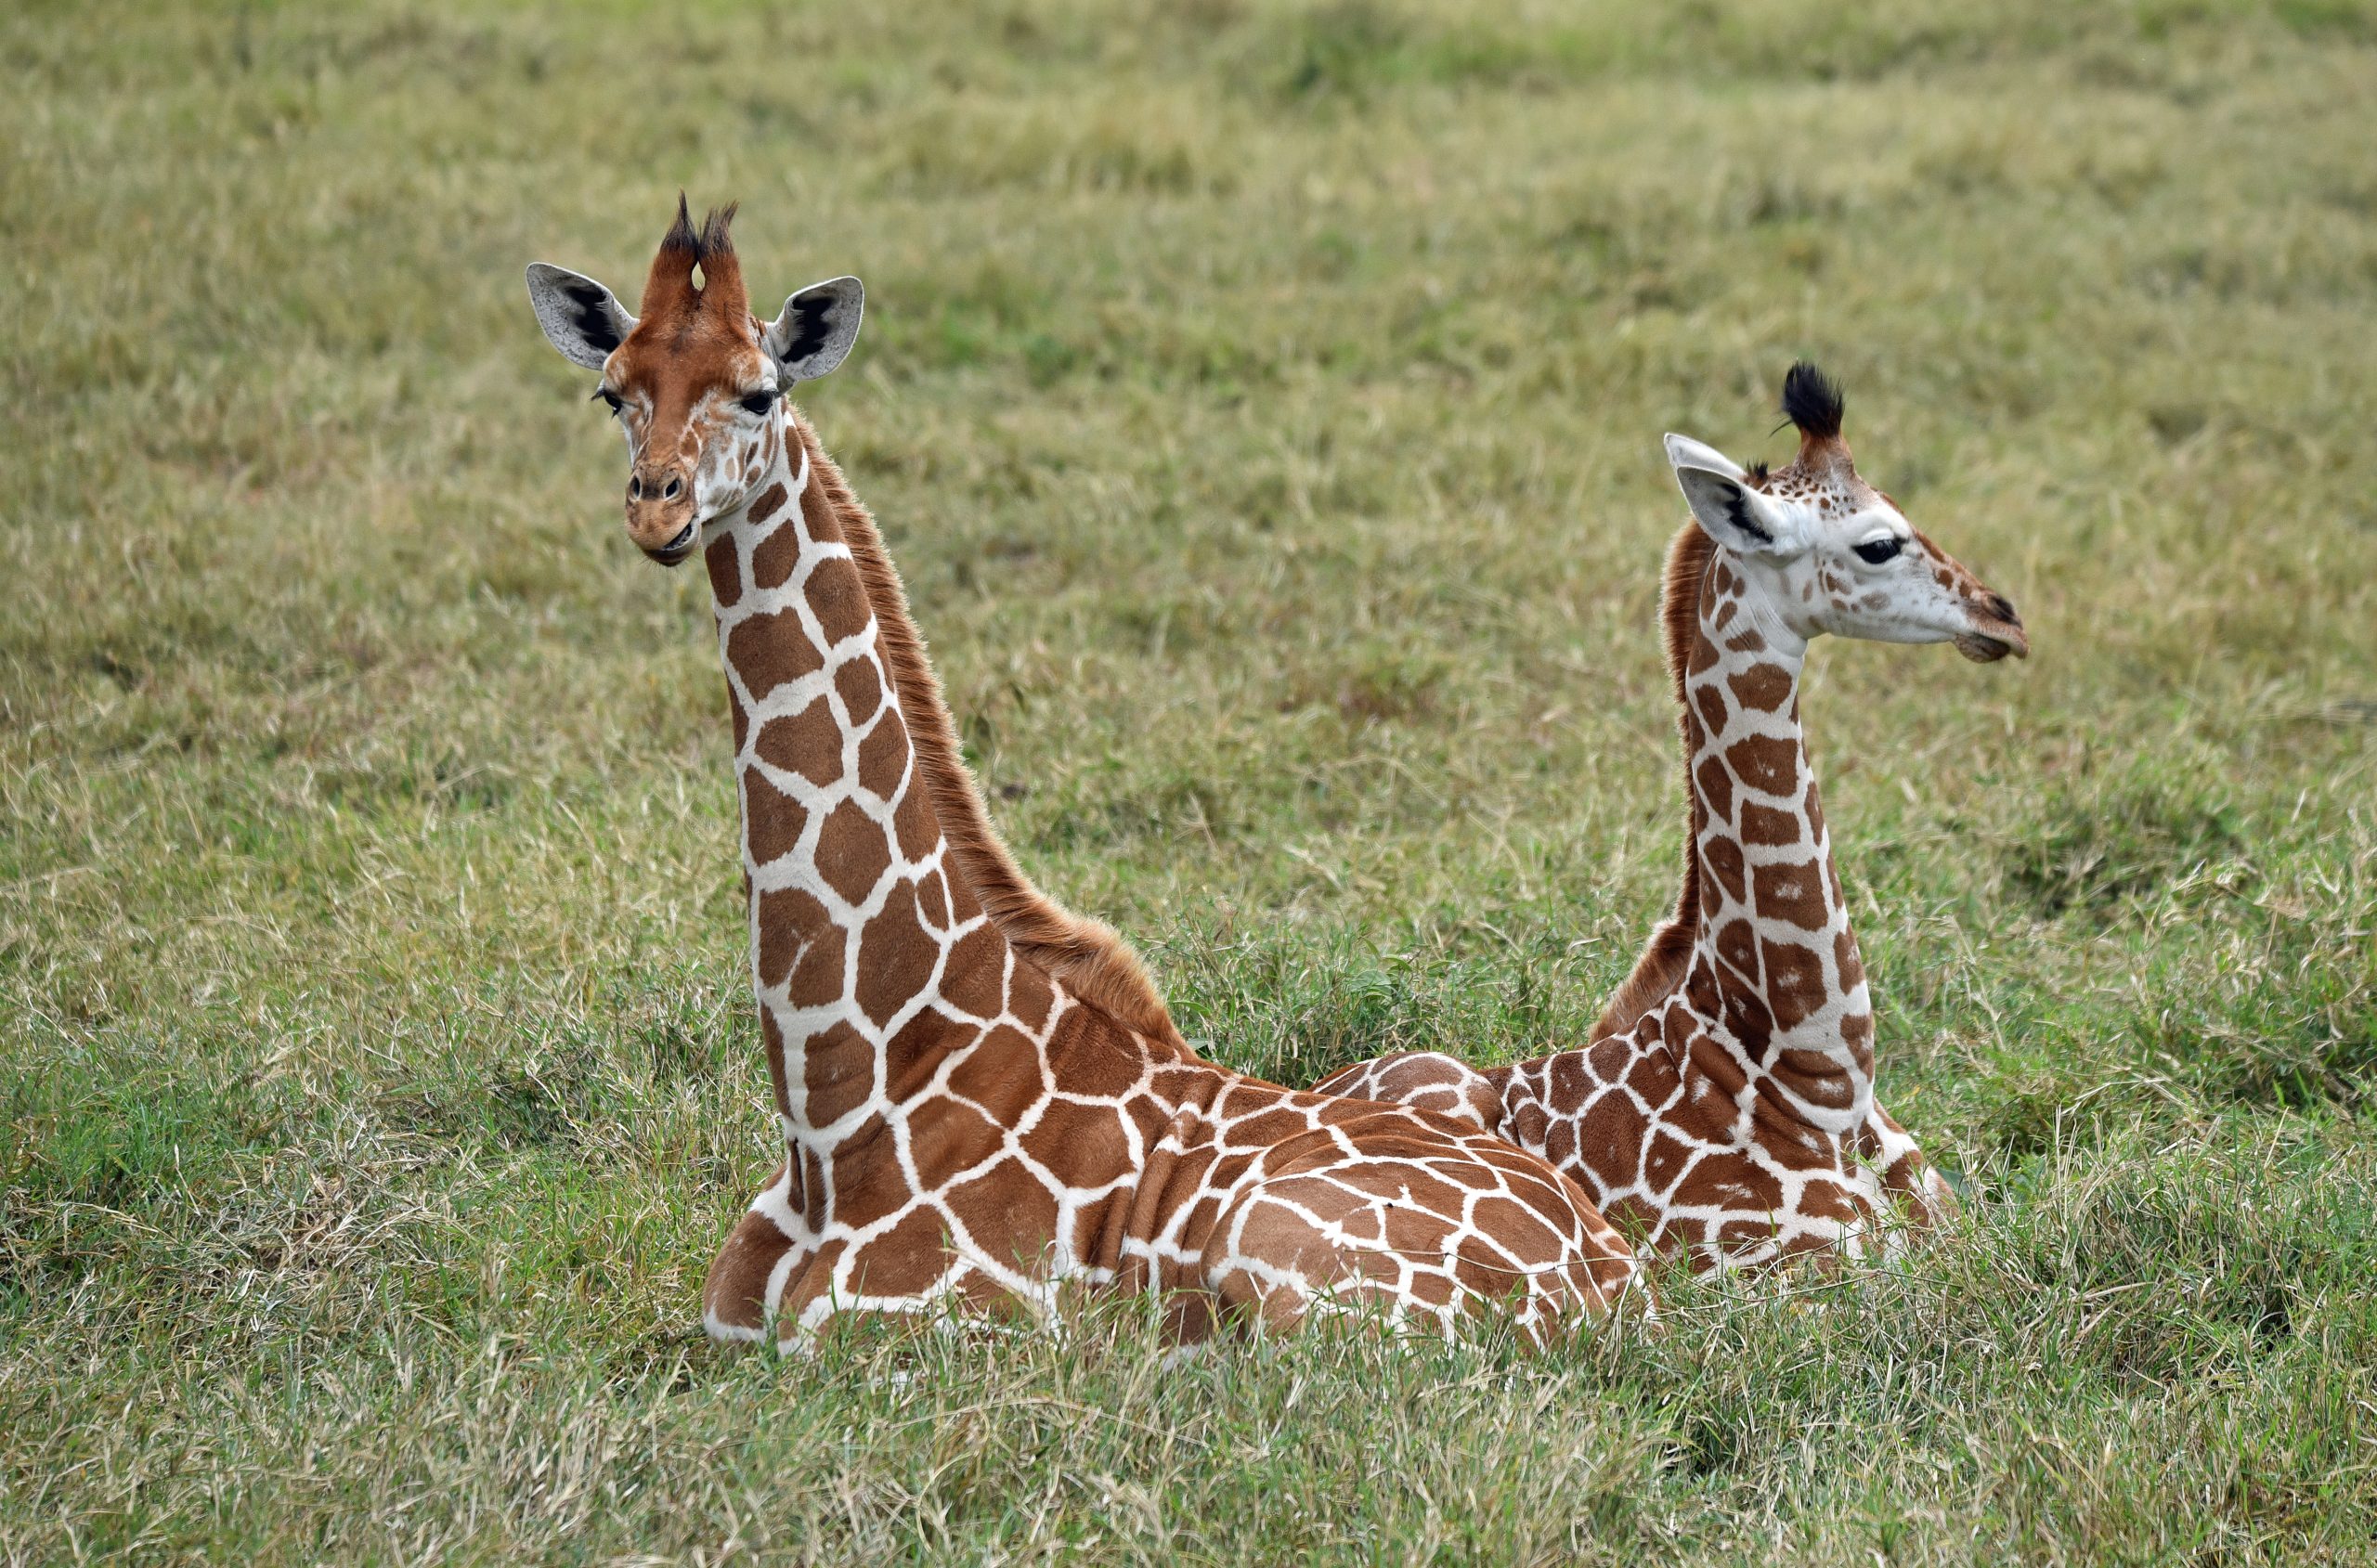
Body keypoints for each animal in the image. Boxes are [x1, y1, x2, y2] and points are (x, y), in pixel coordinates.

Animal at [522, 200, 1643, 1348]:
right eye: (614, 390)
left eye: (759, 390)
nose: (657, 510)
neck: (844, 1099)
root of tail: (1614, 1278)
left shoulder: (923, 1333)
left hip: (1289, 1264)